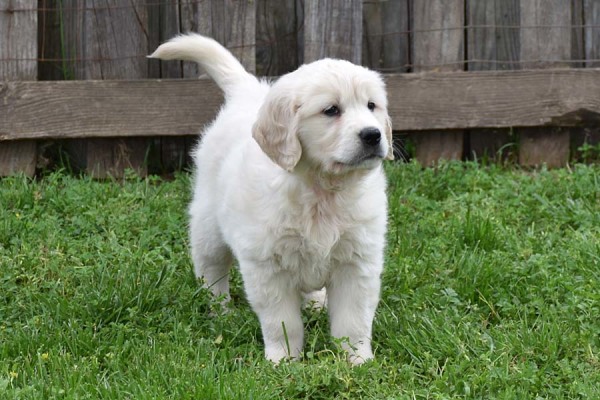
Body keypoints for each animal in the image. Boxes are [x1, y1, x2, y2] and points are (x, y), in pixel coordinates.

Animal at [150, 34, 394, 366]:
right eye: (331, 110)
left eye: (372, 105)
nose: (373, 135)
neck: (322, 190)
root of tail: (249, 91)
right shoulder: (267, 267)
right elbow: (283, 322)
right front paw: (283, 360)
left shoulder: (358, 262)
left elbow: (353, 320)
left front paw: (357, 360)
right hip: (208, 228)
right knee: (211, 271)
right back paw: (220, 311)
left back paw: (315, 304)